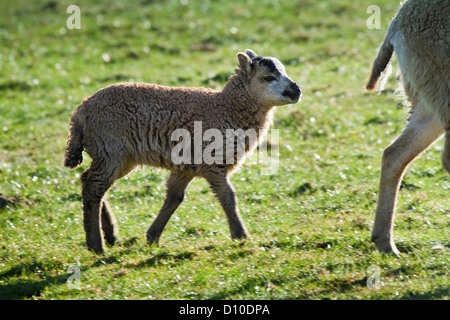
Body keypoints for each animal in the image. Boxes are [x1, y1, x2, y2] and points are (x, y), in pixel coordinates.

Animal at [64, 49, 302, 252]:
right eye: (268, 78)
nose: (297, 90)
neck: (225, 107)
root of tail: (80, 112)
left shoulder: (186, 166)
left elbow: (174, 197)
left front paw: (152, 237)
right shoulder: (212, 162)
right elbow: (228, 197)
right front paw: (240, 236)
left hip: (121, 157)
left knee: (90, 182)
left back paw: (110, 235)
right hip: (111, 149)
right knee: (94, 186)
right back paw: (96, 245)